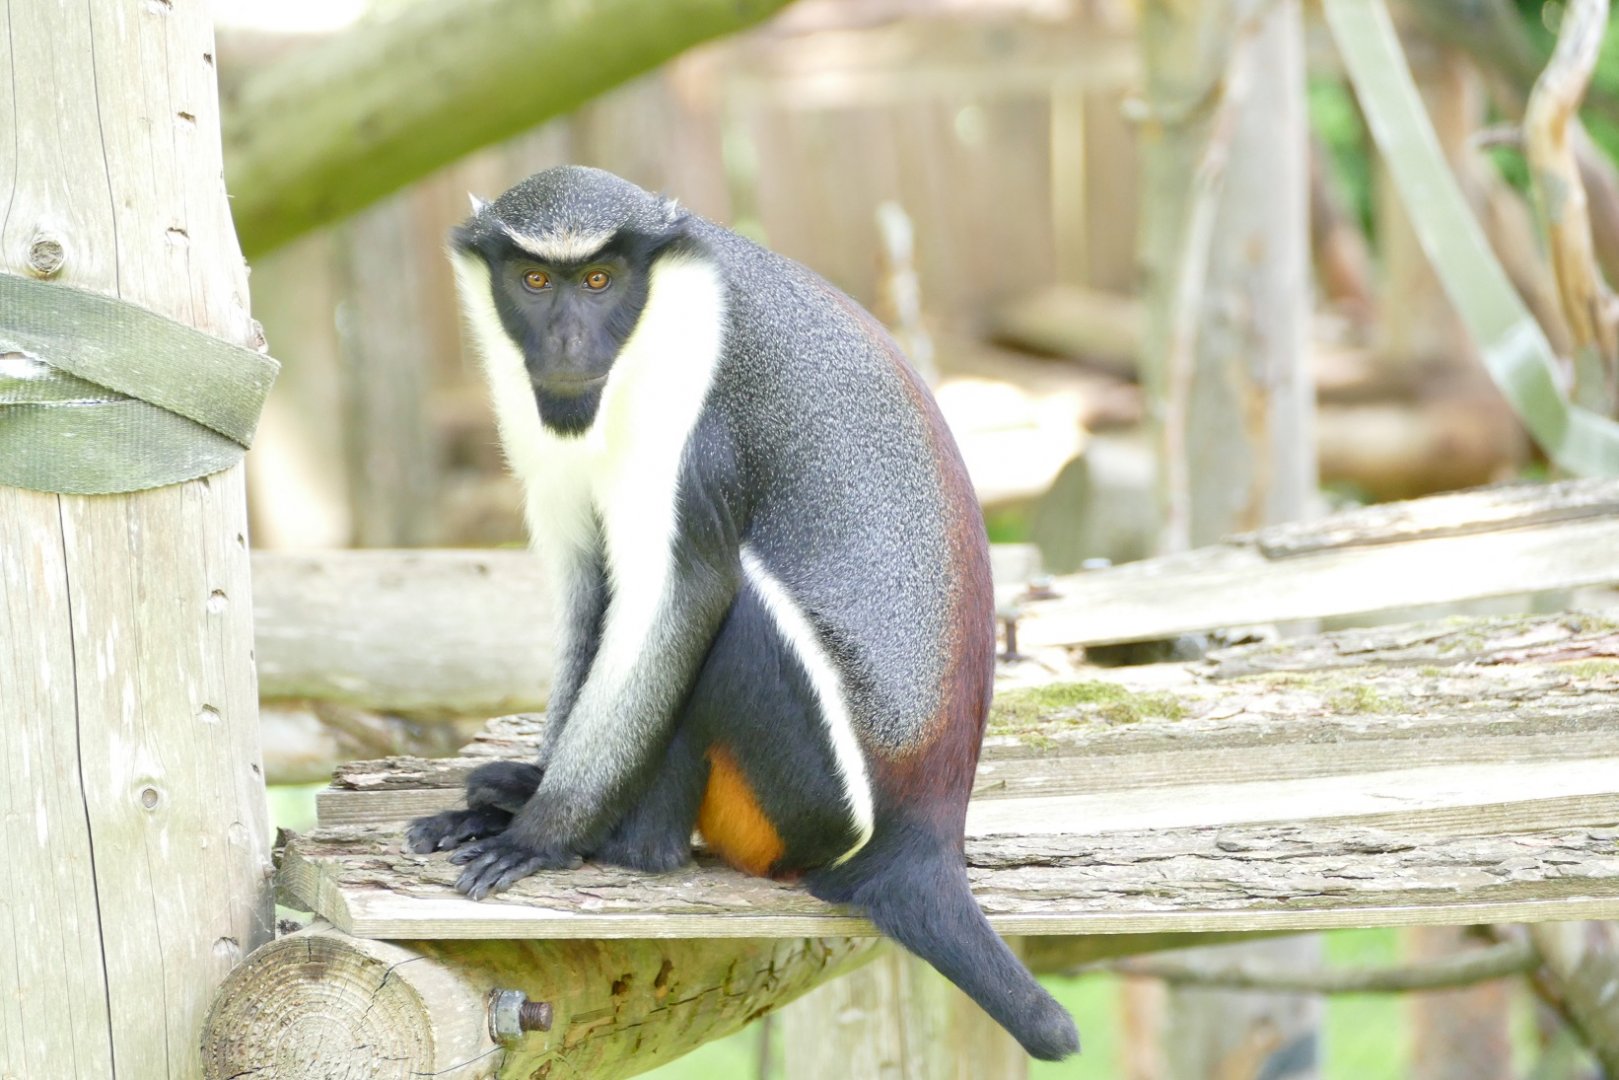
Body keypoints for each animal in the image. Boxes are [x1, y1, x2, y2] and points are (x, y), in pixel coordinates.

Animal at [405, 165, 1079, 1061]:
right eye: (534, 281)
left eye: (599, 280)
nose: (566, 346)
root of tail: (925, 843)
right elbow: (590, 592)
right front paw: (523, 795)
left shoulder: (693, 430)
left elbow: (679, 598)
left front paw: (540, 835)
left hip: (809, 800)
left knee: (737, 610)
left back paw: (630, 846)